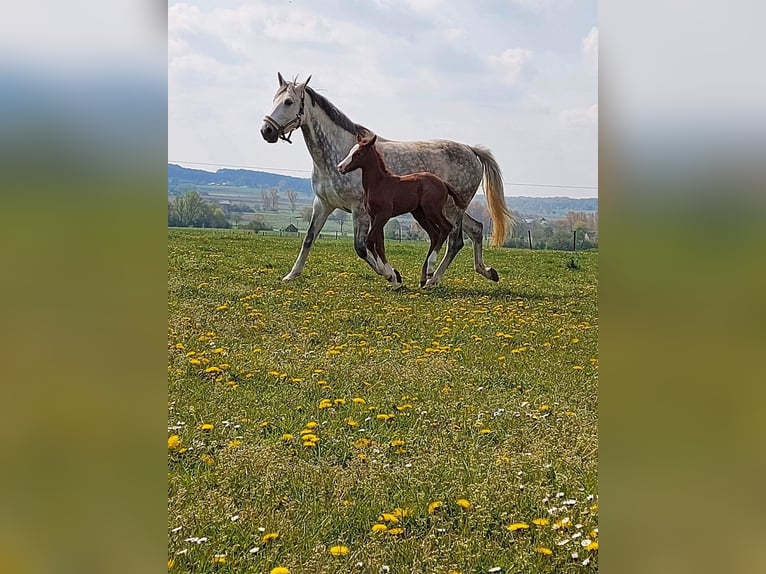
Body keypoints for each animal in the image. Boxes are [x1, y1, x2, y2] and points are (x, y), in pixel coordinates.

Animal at [340, 134, 472, 288]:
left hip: (432, 210)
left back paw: (430, 269)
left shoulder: (383, 215)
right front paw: (393, 279)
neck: (379, 184)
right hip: (420, 214)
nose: (340, 167)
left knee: (445, 228)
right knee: (434, 234)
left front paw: (387, 274)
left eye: (358, 153)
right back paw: (423, 278)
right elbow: (380, 244)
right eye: (351, 150)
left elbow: (370, 241)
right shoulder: (374, 217)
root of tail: (443, 183)